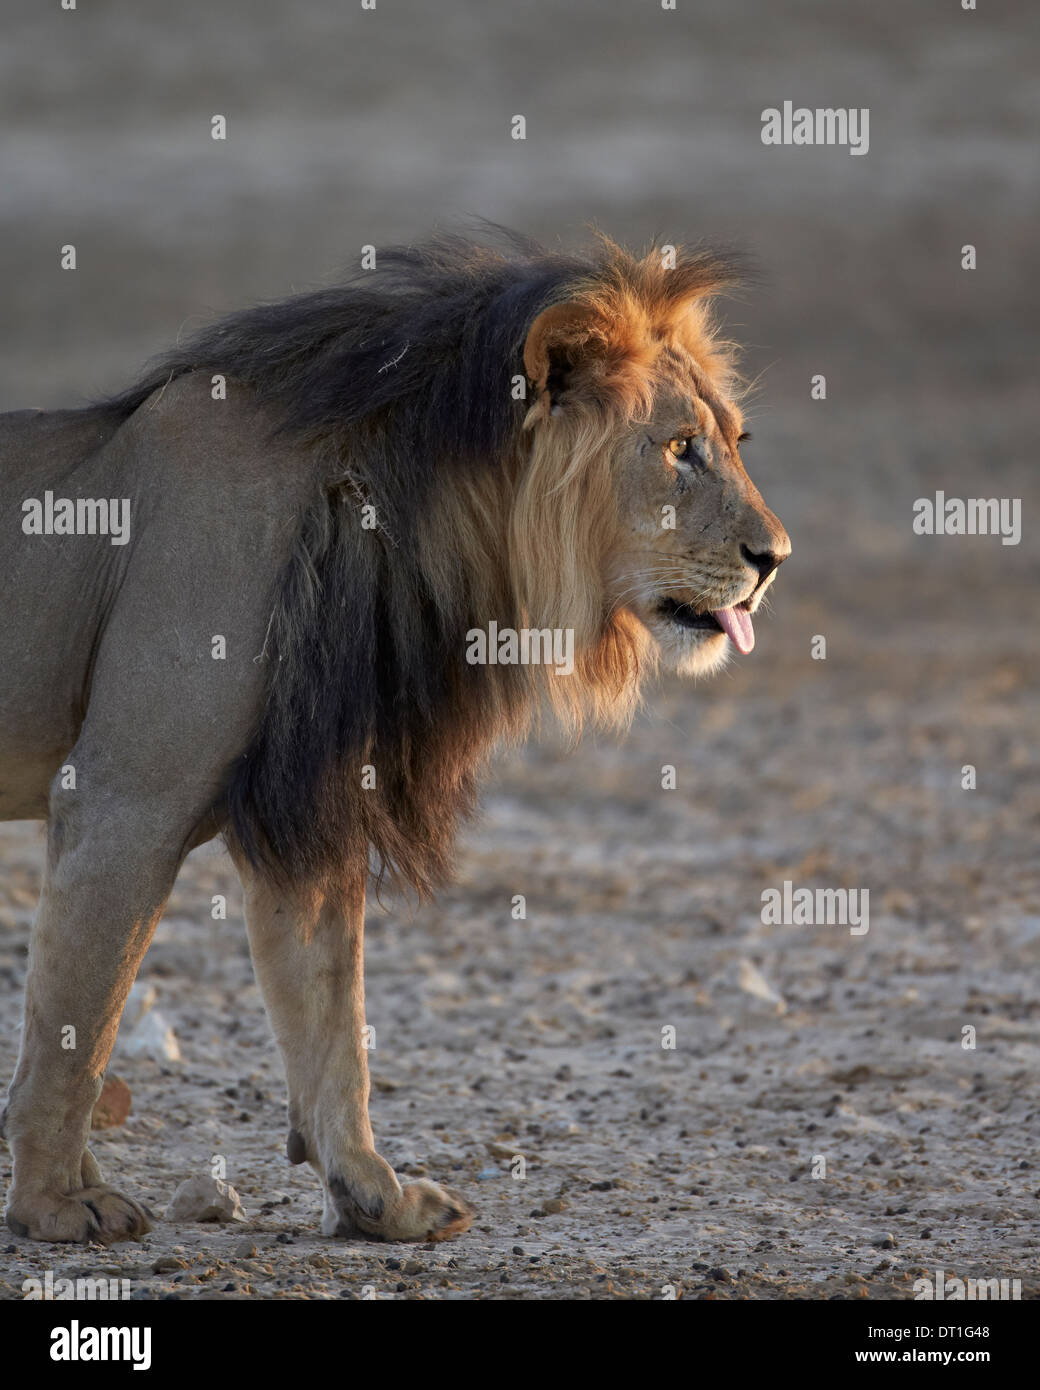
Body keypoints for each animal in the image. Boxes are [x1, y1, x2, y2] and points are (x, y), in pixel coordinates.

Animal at [0, 230, 789, 1251]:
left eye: (734, 441)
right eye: (679, 449)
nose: (775, 558)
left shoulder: (317, 801)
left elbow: (332, 1020)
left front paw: (377, 1198)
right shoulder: (122, 794)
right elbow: (79, 1021)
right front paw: (58, 1204)